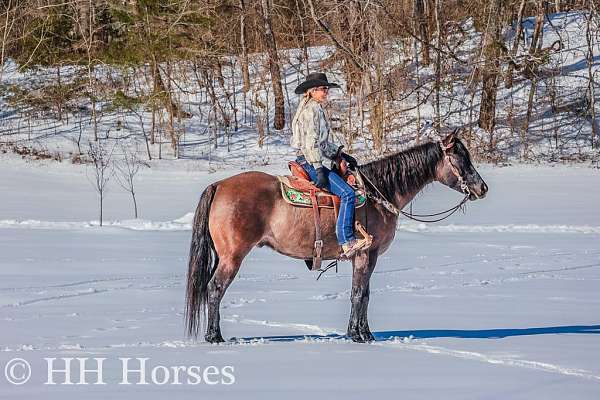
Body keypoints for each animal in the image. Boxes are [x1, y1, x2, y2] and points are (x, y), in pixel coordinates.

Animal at [184, 132, 488, 344]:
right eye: (460, 159)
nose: (482, 188)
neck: (380, 192)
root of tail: (219, 185)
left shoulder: (367, 257)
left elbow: (364, 294)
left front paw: (362, 333)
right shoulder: (365, 254)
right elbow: (359, 293)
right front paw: (359, 335)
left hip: (222, 255)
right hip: (233, 256)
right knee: (215, 289)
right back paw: (215, 336)